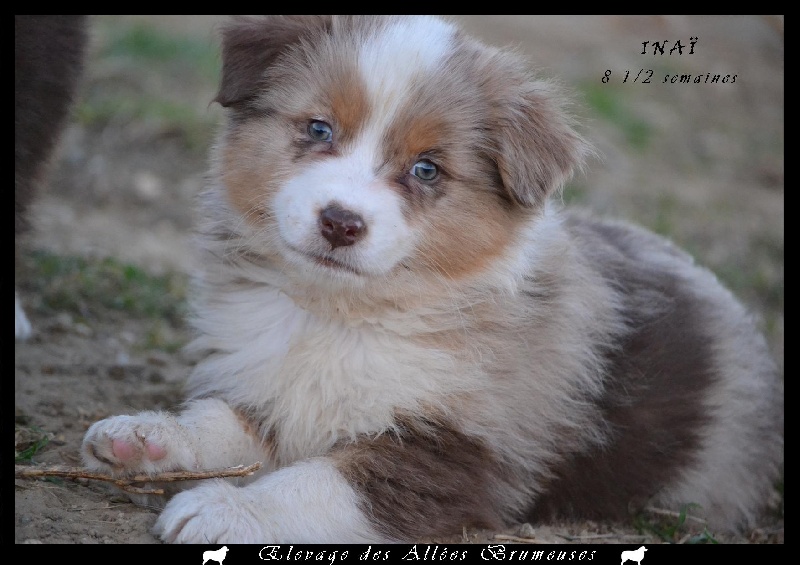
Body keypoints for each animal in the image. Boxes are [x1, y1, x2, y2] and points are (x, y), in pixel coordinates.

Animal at [79, 14, 780, 540]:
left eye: (426, 169)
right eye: (318, 128)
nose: (340, 223)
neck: (342, 313)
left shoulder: (455, 452)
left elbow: (321, 482)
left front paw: (227, 510)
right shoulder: (269, 384)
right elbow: (223, 422)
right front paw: (146, 437)